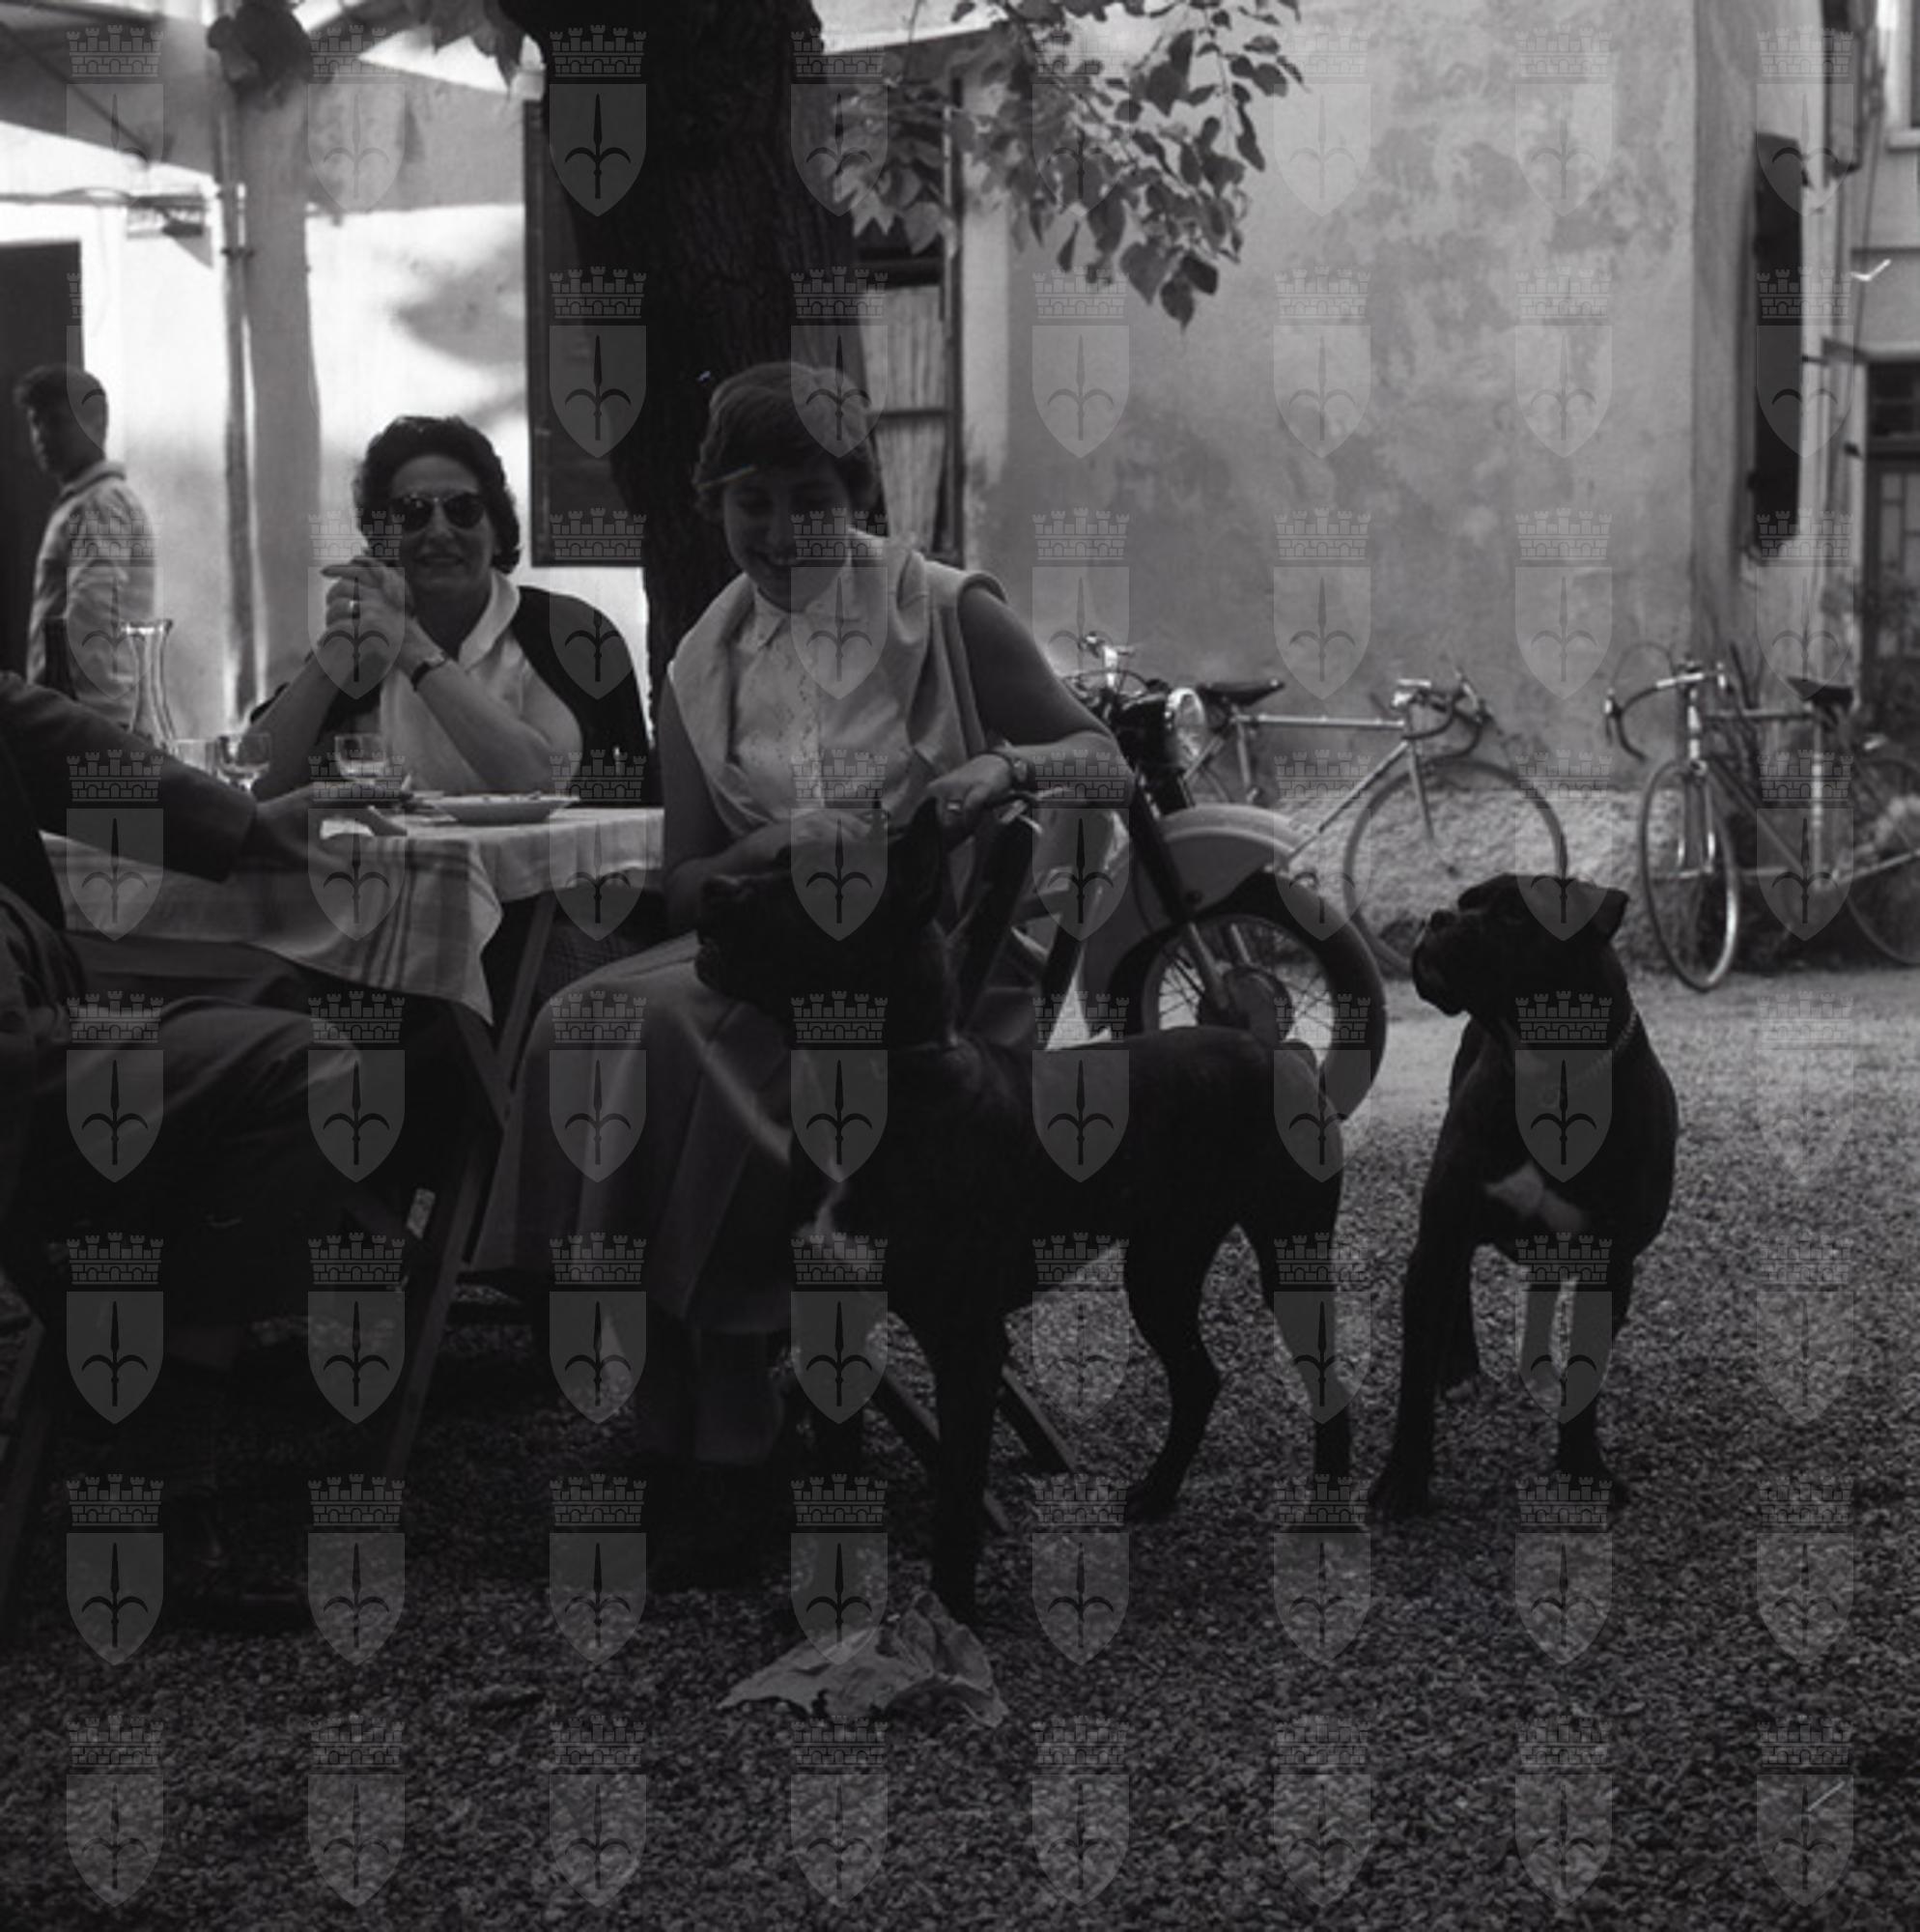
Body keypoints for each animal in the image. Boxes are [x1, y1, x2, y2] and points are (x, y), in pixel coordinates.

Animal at [697, 799, 1350, 1621]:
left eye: (820, 886)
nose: (713, 888)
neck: (877, 1087)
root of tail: (1283, 1055)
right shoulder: (829, 1324)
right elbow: (834, 1487)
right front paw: (826, 1613)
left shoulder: (968, 1350)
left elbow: (955, 1501)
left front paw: (948, 1616)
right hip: (1160, 1270)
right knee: (1199, 1377)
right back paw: (1158, 1491)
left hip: (1289, 1264)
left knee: (1330, 1392)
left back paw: (1327, 1513)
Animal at [1369, 875, 1677, 1519]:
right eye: (1464, 902)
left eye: (1514, 915)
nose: (1437, 917)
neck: (1546, 1069)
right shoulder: (1440, 1235)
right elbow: (1413, 1380)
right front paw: (1404, 1479)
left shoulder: (1608, 1265)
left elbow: (1587, 1375)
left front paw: (1583, 1471)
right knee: (1459, 1285)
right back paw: (1461, 1368)